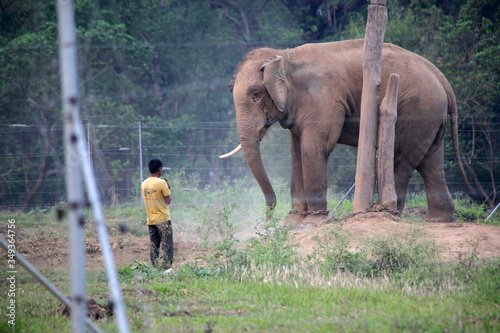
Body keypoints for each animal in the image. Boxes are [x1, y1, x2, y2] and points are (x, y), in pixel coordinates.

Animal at [223, 39, 468, 226]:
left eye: (256, 94)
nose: (268, 215)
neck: (284, 56)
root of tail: (441, 77)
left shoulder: (323, 98)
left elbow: (313, 148)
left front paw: (312, 222)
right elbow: (296, 153)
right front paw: (290, 224)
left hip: (417, 111)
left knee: (403, 160)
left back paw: (393, 213)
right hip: (430, 116)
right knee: (431, 163)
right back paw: (438, 220)